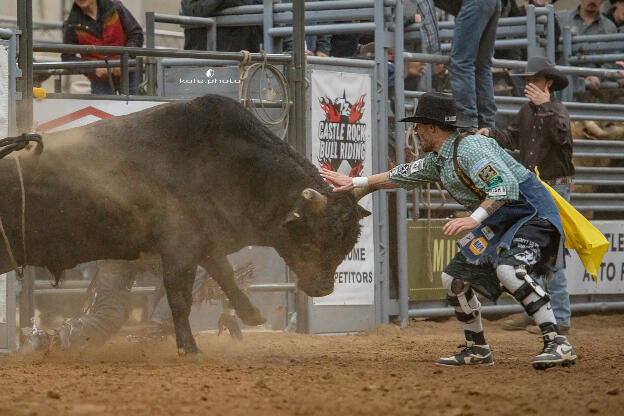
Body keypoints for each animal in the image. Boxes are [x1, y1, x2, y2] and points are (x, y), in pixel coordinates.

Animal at [0, 94, 370, 354]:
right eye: (315, 236)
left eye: (347, 242)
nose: (323, 289)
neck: (234, 165)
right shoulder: (180, 247)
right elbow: (180, 297)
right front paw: (188, 348)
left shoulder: (205, 241)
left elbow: (224, 275)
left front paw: (251, 315)